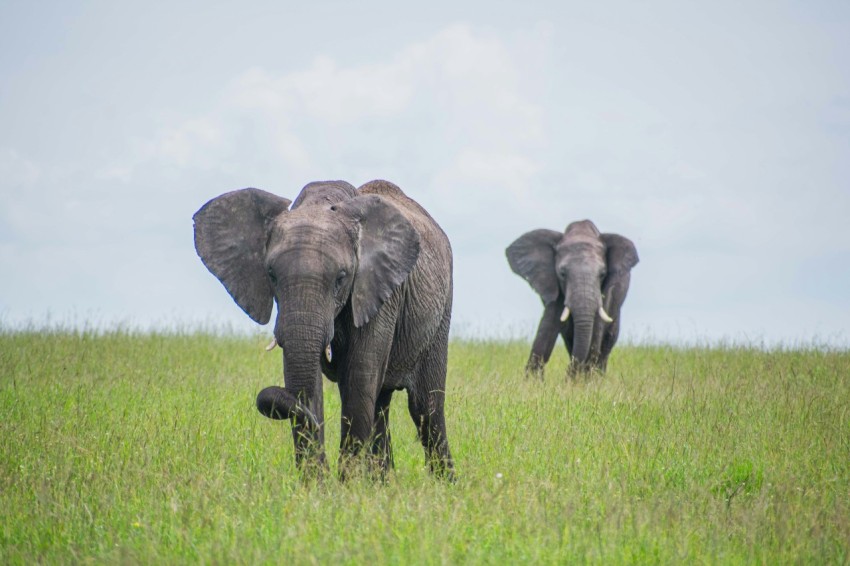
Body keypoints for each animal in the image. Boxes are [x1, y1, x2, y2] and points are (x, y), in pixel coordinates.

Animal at [193, 179, 454, 480]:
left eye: (341, 278)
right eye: (271, 274)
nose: (324, 475)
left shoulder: (379, 292)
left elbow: (359, 378)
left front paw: (346, 486)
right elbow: (307, 381)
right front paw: (318, 486)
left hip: (441, 313)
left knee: (425, 408)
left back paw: (444, 485)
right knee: (381, 404)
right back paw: (383, 485)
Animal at [504, 221, 636, 378]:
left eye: (603, 274)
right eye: (562, 273)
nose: (567, 372)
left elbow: (595, 333)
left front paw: (581, 381)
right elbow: (547, 327)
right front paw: (532, 381)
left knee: (607, 342)